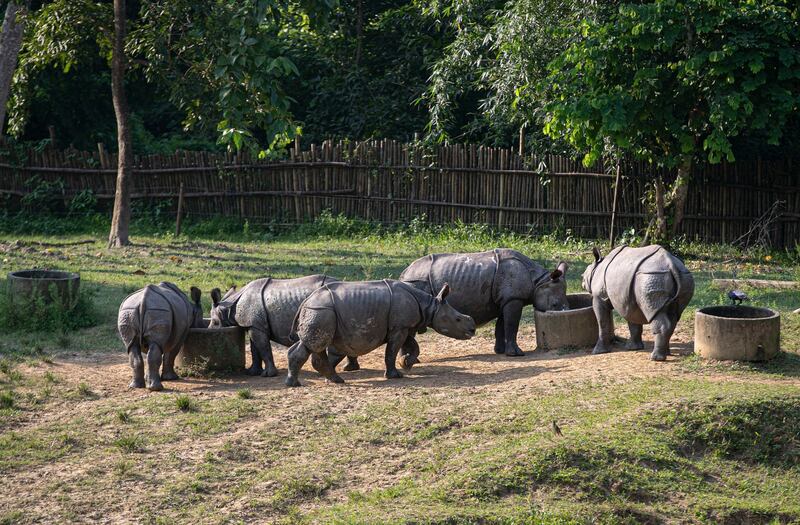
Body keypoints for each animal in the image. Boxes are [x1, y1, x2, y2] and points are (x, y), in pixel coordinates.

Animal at [208, 274, 358, 376]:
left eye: (215, 322)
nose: (209, 329)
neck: (229, 307)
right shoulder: (254, 324)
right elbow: (254, 348)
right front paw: (252, 372)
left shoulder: (255, 325)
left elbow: (263, 347)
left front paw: (268, 375)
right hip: (343, 303)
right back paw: (349, 368)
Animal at [286, 280, 476, 386]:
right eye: (458, 319)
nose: (472, 329)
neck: (429, 306)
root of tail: (305, 301)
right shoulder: (399, 327)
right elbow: (391, 352)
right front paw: (395, 375)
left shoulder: (403, 327)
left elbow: (413, 346)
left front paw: (406, 363)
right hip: (322, 311)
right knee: (316, 344)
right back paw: (303, 384)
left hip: (320, 312)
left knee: (312, 344)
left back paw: (328, 380)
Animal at [400, 249, 568, 356]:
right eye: (554, 305)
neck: (539, 282)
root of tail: (404, 273)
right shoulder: (513, 299)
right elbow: (512, 325)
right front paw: (516, 354)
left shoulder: (505, 300)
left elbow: (501, 326)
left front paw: (500, 351)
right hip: (417, 281)